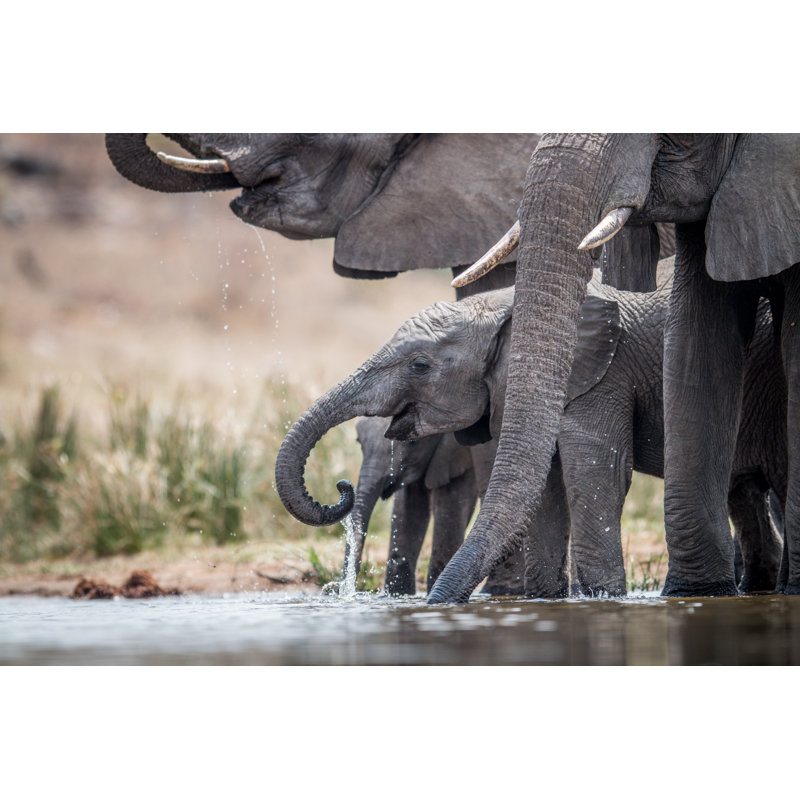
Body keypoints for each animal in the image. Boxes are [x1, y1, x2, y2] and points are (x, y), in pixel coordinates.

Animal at [275, 273, 786, 597]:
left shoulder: (605, 375)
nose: (338, 488)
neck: (507, 302)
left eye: (420, 365)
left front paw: (602, 600)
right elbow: (545, 483)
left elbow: (595, 473)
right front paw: (543, 601)